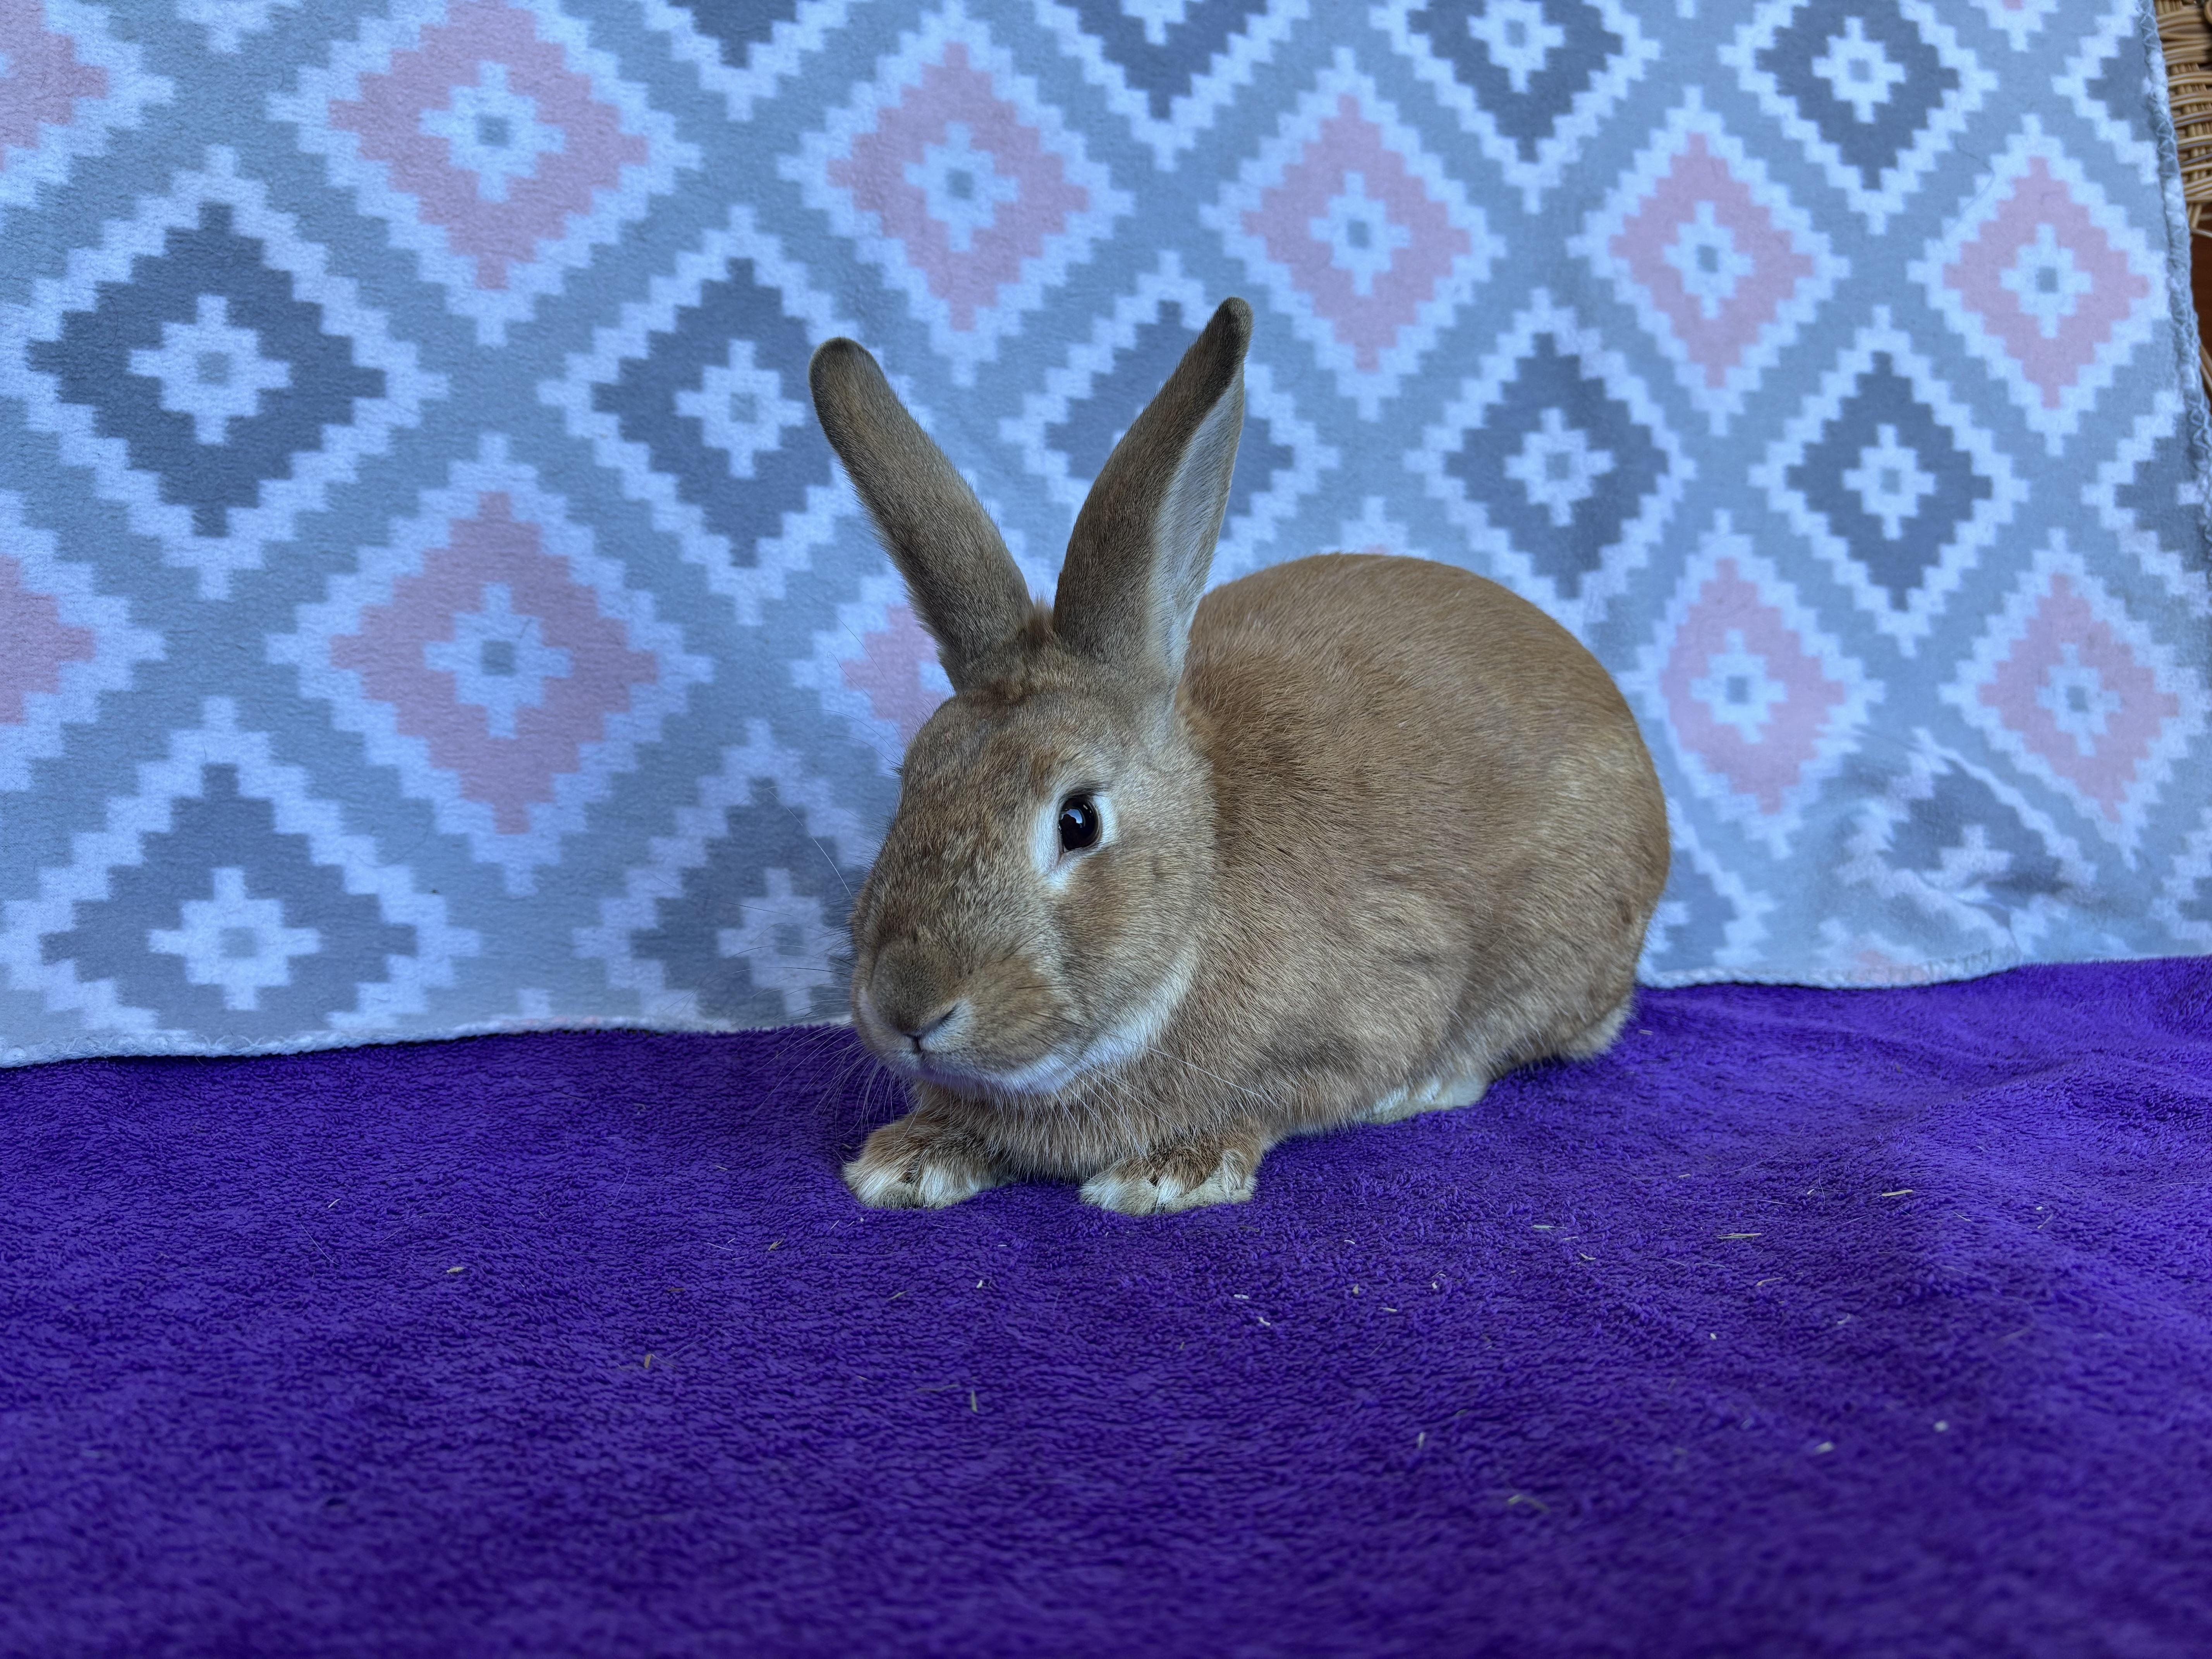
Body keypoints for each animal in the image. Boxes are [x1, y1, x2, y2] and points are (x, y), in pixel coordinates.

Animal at [809, 297, 1668, 1215]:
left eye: (1078, 819)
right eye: (911, 782)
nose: (908, 1007)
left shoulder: (1374, 1006)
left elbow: (1274, 1100)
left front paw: (1165, 1174)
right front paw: (909, 1160)